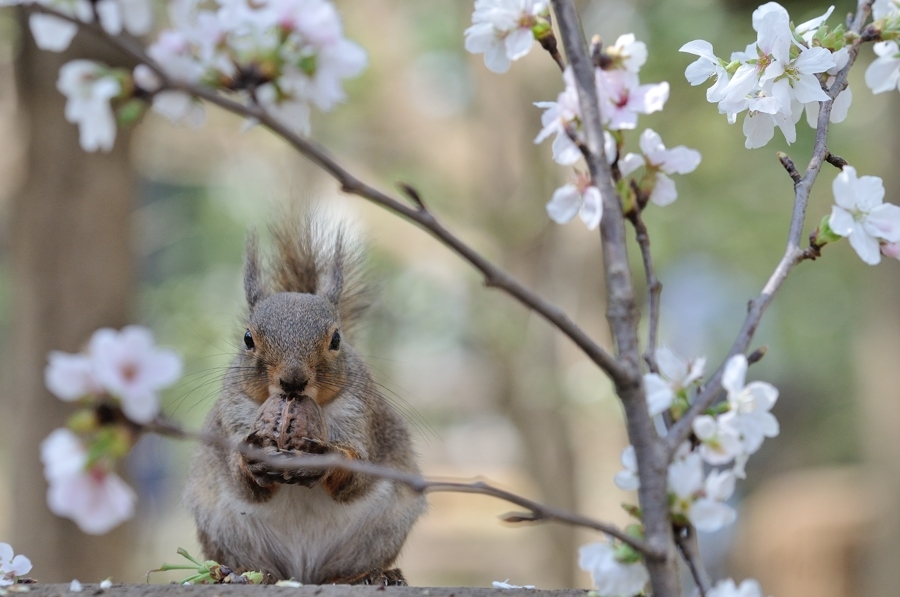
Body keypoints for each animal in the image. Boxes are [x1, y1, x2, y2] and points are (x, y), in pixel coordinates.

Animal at [185, 214, 428, 584]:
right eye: (248, 339)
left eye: (337, 339)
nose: (293, 380)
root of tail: (302, 573)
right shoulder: (234, 416)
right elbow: (244, 483)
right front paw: (252, 458)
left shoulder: (361, 414)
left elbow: (358, 472)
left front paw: (323, 458)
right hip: (223, 529)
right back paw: (244, 575)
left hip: (384, 530)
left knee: (343, 572)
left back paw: (370, 576)